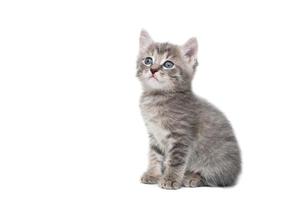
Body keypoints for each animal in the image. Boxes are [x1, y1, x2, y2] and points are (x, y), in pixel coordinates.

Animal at [136, 30, 241, 190]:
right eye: (148, 60)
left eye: (168, 64)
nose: (153, 70)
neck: (157, 98)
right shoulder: (154, 134)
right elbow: (154, 155)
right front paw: (153, 174)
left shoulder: (181, 136)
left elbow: (175, 161)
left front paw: (170, 179)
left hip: (218, 162)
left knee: (216, 179)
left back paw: (191, 177)